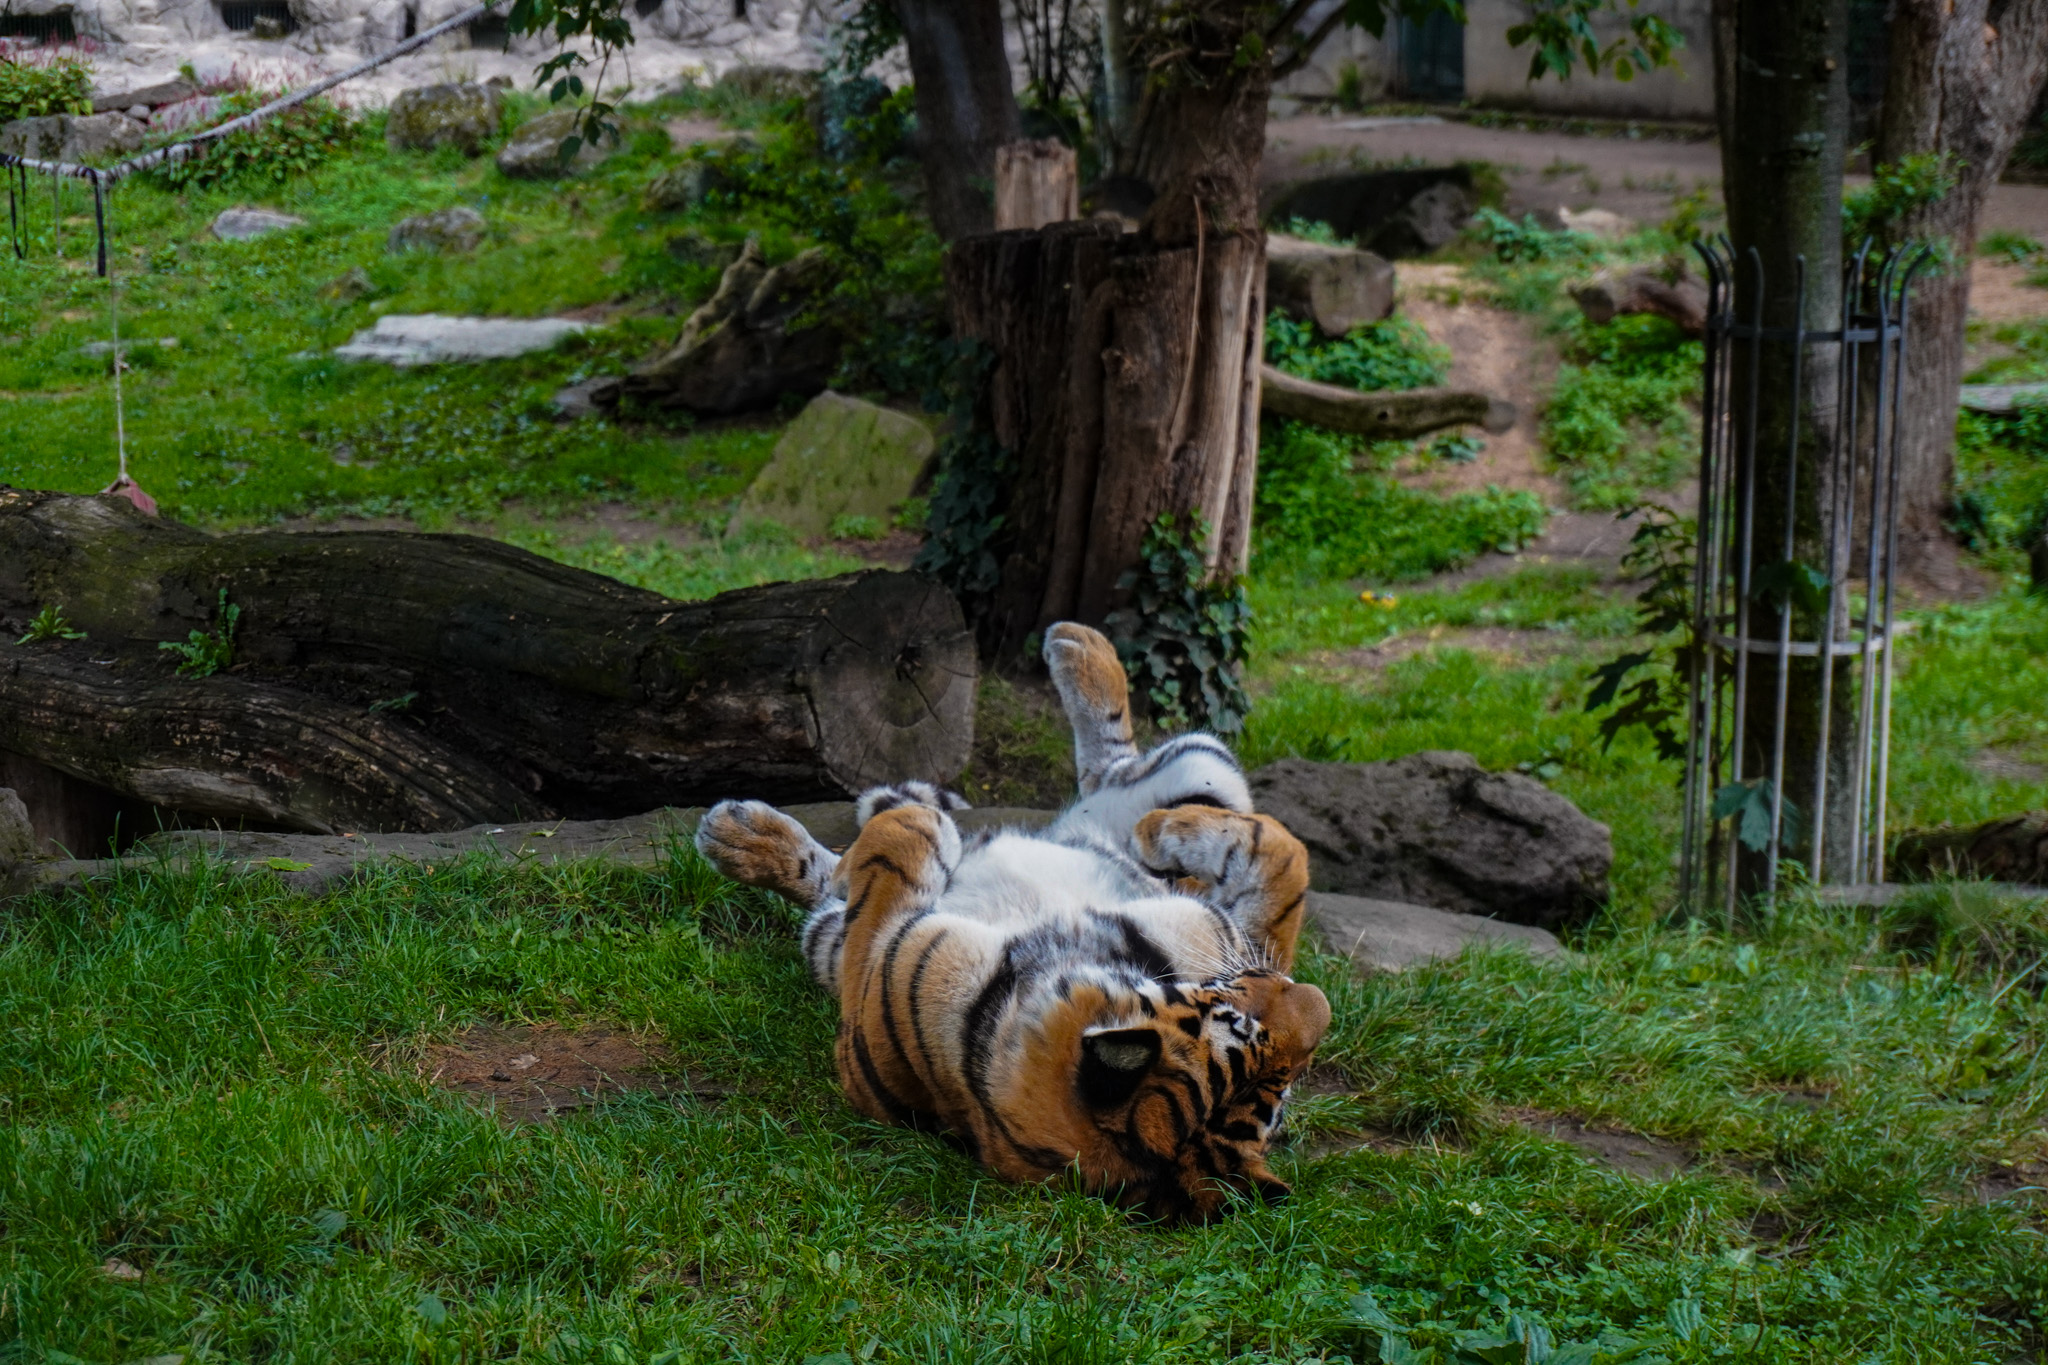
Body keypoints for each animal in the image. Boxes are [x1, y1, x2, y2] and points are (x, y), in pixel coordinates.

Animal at [693, 621, 1329, 1222]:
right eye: (1239, 1023)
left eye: (1285, 1083)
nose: (1314, 1000)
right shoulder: (1218, 930)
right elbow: (1283, 863)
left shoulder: (872, 969)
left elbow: (893, 849)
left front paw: (916, 828)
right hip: (1196, 767)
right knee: (1121, 771)